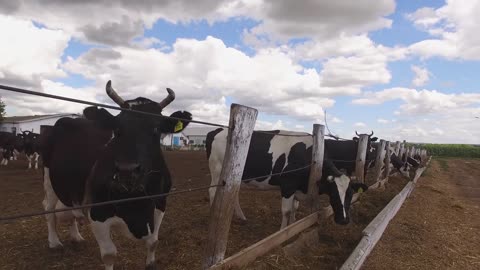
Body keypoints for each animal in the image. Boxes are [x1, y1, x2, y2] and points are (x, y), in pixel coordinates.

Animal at [40, 81, 191, 270]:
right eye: (117, 129)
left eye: (156, 130)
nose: (127, 170)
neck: (136, 202)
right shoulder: (97, 212)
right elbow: (109, 254)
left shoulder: (160, 204)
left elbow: (153, 242)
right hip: (49, 180)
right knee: (49, 210)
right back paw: (54, 242)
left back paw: (76, 237)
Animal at [206, 129, 372, 228]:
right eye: (333, 194)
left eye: (350, 194)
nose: (344, 220)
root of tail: (218, 130)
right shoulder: (287, 186)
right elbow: (286, 211)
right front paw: (282, 231)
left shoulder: (296, 189)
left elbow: (294, 209)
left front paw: (293, 226)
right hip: (217, 173)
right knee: (212, 192)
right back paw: (213, 216)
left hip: (235, 178)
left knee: (233, 195)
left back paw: (242, 217)